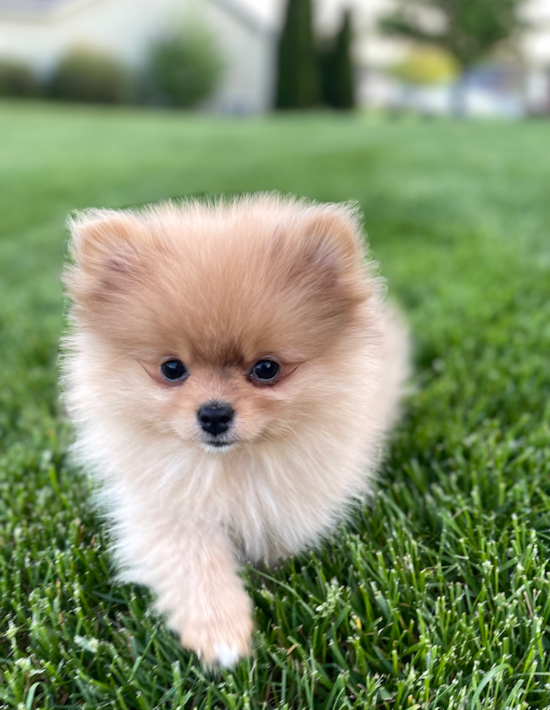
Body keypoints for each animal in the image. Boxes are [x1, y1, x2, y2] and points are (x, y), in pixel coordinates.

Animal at [62, 193, 412, 668]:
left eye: (266, 369)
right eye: (172, 369)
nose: (213, 414)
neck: (230, 465)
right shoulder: (165, 505)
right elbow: (193, 560)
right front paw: (220, 633)